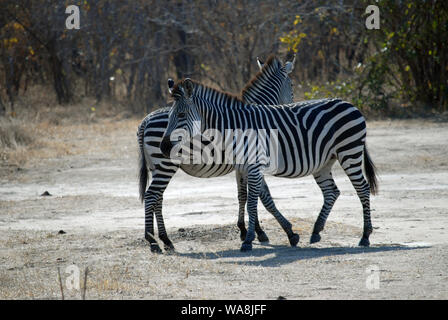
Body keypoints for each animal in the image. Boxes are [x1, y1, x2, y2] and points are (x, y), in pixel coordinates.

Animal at [136, 55, 298, 252]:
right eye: (291, 84)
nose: (290, 106)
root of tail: (145, 121)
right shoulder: (251, 163)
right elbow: (263, 196)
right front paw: (281, 231)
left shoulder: (242, 166)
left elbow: (244, 195)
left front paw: (247, 230)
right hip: (165, 165)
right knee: (152, 196)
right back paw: (152, 241)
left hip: (156, 166)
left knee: (157, 198)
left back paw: (166, 240)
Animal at [161, 78, 378, 252]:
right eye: (169, 116)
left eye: (181, 115)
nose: (163, 147)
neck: (234, 128)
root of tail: (349, 104)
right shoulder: (244, 167)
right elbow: (251, 199)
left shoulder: (254, 166)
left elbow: (252, 203)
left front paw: (248, 240)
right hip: (324, 162)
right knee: (332, 191)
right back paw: (316, 231)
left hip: (349, 151)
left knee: (362, 188)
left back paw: (365, 236)